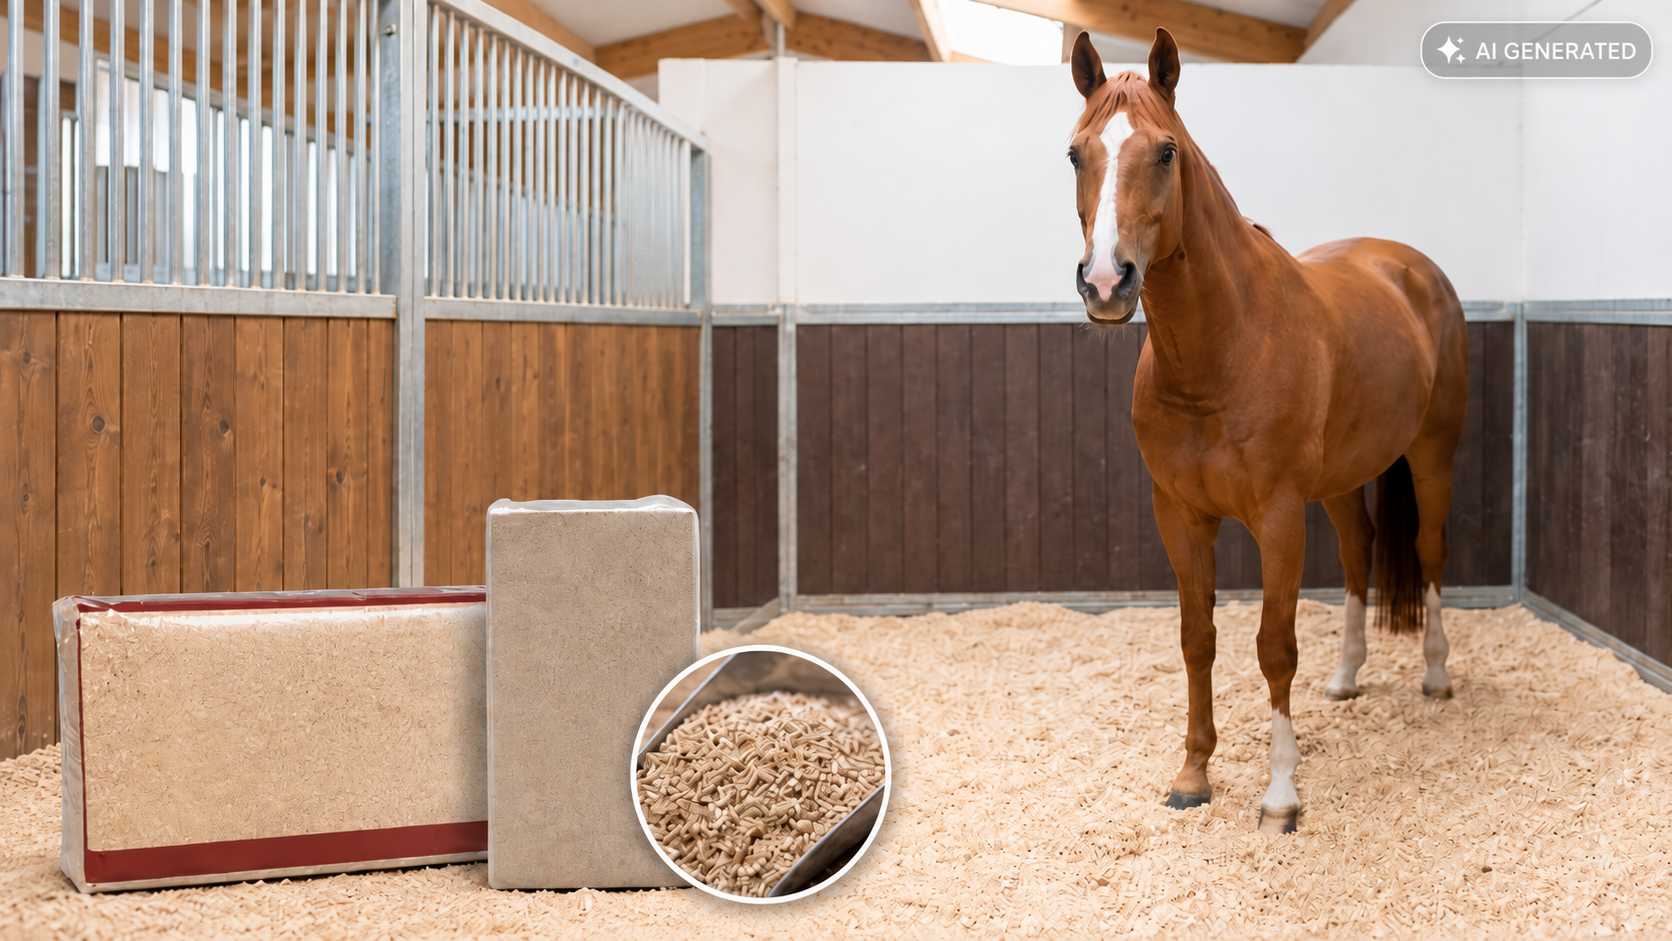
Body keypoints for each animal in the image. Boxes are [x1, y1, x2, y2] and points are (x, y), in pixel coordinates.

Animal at [1065, 28, 1468, 834]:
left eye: (1166, 152)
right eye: (1074, 154)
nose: (1106, 283)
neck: (1223, 348)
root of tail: (1413, 269)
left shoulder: (1278, 516)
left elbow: (1274, 646)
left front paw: (1281, 793)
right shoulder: (1180, 513)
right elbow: (1198, 638)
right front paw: (1193, 773)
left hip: (1432, 454)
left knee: (1430, 551)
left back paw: (1436, 675)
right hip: (1343, 478)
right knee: (1359, 552)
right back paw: (1345, 677)